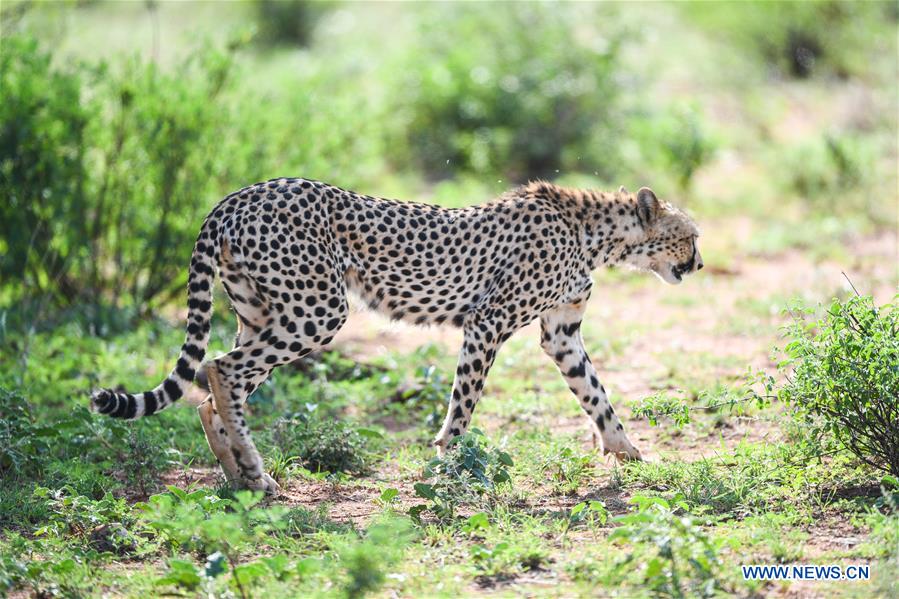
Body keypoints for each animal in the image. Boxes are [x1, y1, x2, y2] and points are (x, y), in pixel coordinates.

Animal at [96, 180, 704, 494]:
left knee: (215, 380)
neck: (598, 234)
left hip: (263, 312)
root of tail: (239, 194)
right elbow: (463, 404)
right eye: (691, 236)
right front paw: (447, 465)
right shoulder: (487, 321)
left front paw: (626, 449)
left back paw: (243, 474)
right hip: (318, 309)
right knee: (221, 368)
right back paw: (251, 468)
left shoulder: (561, 333)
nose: (700, 264)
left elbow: (594, 392)